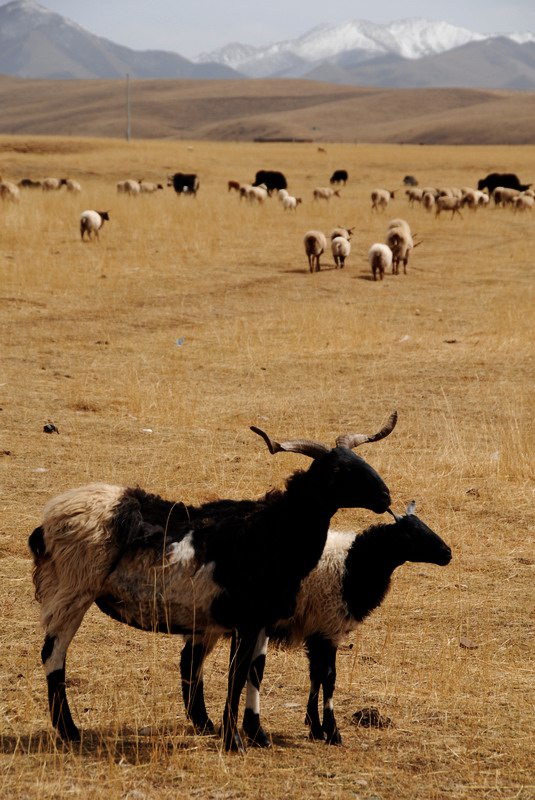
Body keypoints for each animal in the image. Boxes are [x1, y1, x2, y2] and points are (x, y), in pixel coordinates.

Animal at [29, 416, 398, 752]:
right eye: (337, 471)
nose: (385, 496)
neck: (272, 530)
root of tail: (47, 524)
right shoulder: (247, 621)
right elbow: (236, 677)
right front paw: (234, 741)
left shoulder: (257, 621)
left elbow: (253, 672)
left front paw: (252, 734)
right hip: (72, 592)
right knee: (54, 655)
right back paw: (69, 731)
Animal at [182, 504, 450, 748]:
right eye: (413, 533)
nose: (448, 553)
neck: (353, 563)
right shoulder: (328, 626)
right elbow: (329, 678)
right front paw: (331, 732)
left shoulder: (317, 630)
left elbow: (315, 675)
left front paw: (315, 727)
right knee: (192, 662)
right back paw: (203, 721)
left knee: (191, 660)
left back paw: (202, 722)